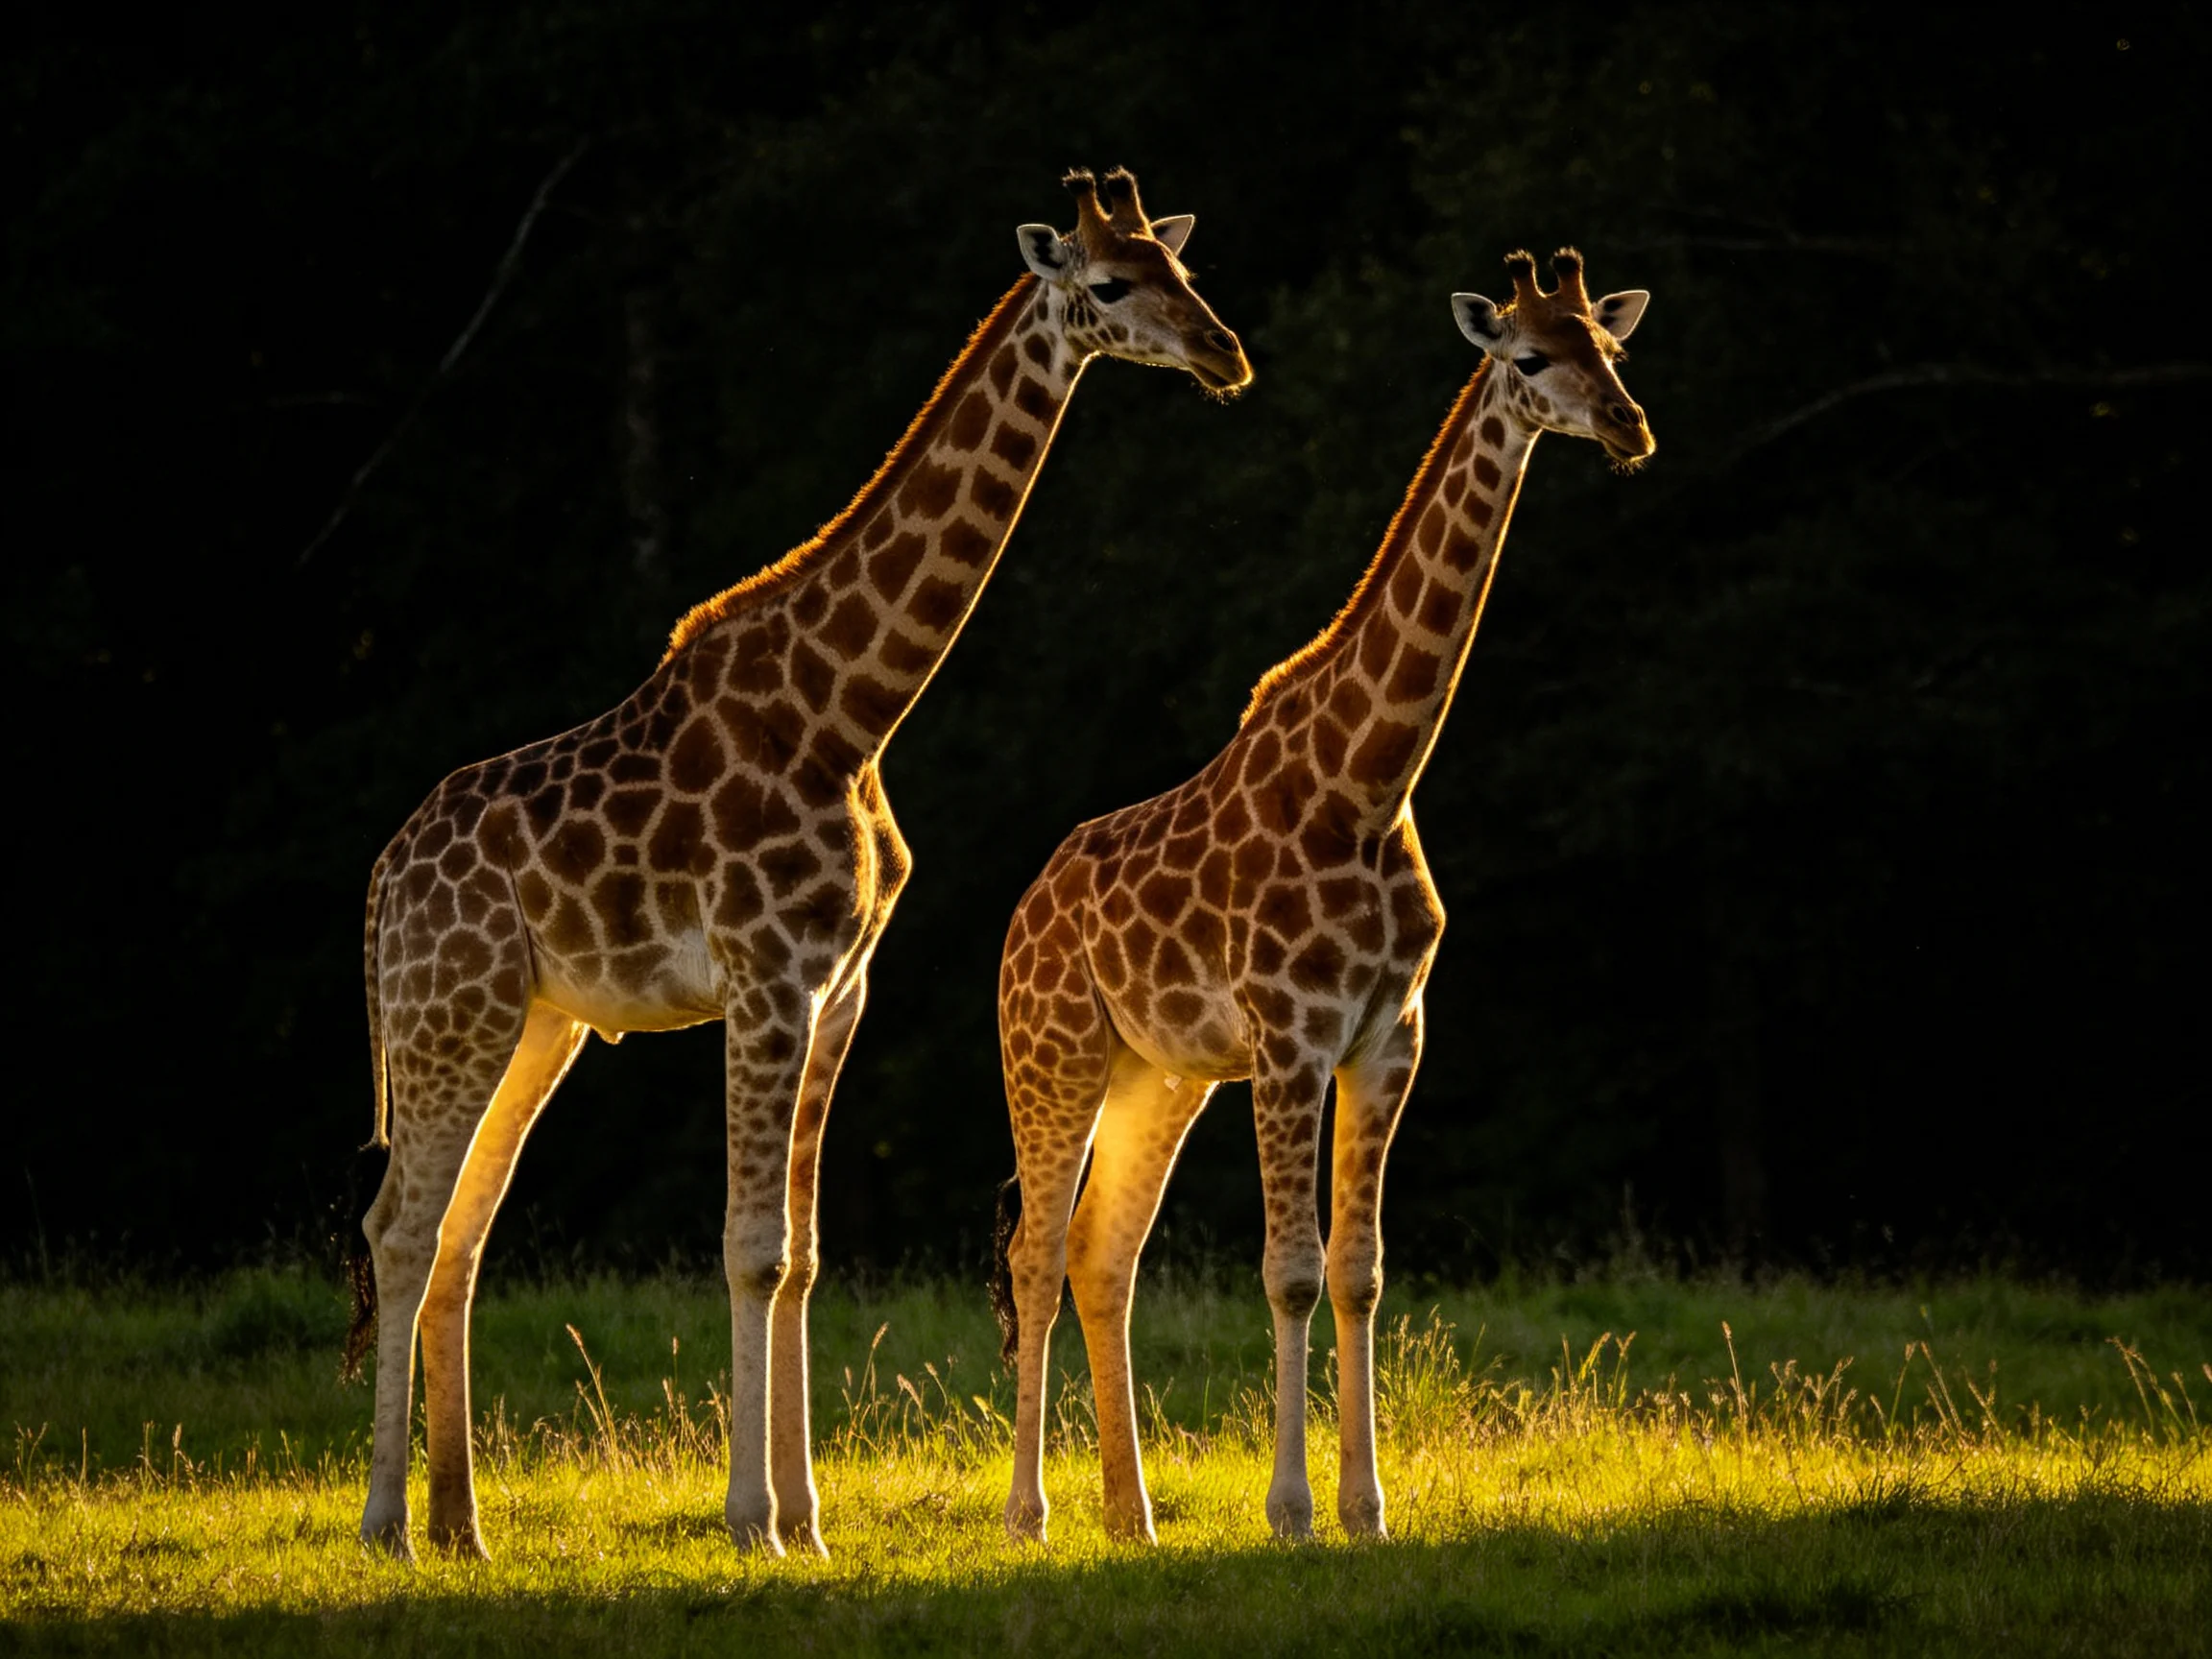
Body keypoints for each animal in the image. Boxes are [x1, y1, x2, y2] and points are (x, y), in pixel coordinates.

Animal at [347, 167, 1251, 1563]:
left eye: (1183, 268)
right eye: (1111, 283)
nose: (1223, 355)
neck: (849, 710)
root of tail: (384, 889)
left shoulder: (841, 987)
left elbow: (806, 1251)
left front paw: (808, 1523)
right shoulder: (766, 976)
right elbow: (751, 1246)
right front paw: (750, 1522)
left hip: (532, 1022)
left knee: (454, 1231)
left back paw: (462, 1527)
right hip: (453, 1012)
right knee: (397, 1226)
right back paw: (389, 1523)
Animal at [993, 249, 1652, 1545]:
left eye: (1612, 349)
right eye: (1532, 356)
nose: (1629, 426)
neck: (1370, 780)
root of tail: (1019, 921)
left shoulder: (1390, 1033)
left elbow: (1360, 1269)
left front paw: (1368, 1509)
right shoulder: (1292, 1037)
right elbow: (1290, 1269)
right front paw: (1292, 1510)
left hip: (1161, 1076)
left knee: (1101, 1253)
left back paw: (1131, 1517)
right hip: (1054, 1057)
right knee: (1037, 1253)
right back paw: (1030, 1516)